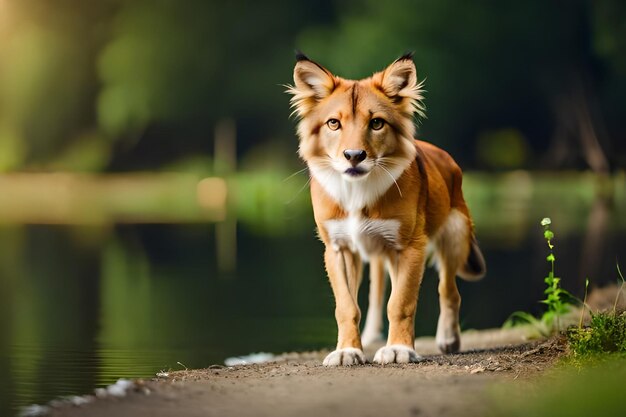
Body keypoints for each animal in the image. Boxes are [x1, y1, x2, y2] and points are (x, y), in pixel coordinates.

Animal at [286, 51, 486, 364]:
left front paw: (399, 349)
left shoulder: (410, 246)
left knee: (449, 291)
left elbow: (401, 303)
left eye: (377, 123)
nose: (354, 156)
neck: (358, 191)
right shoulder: (338, 248)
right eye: (333, 123)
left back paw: (448, 338)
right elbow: (347, 306)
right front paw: (347, 350)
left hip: (454, 234)